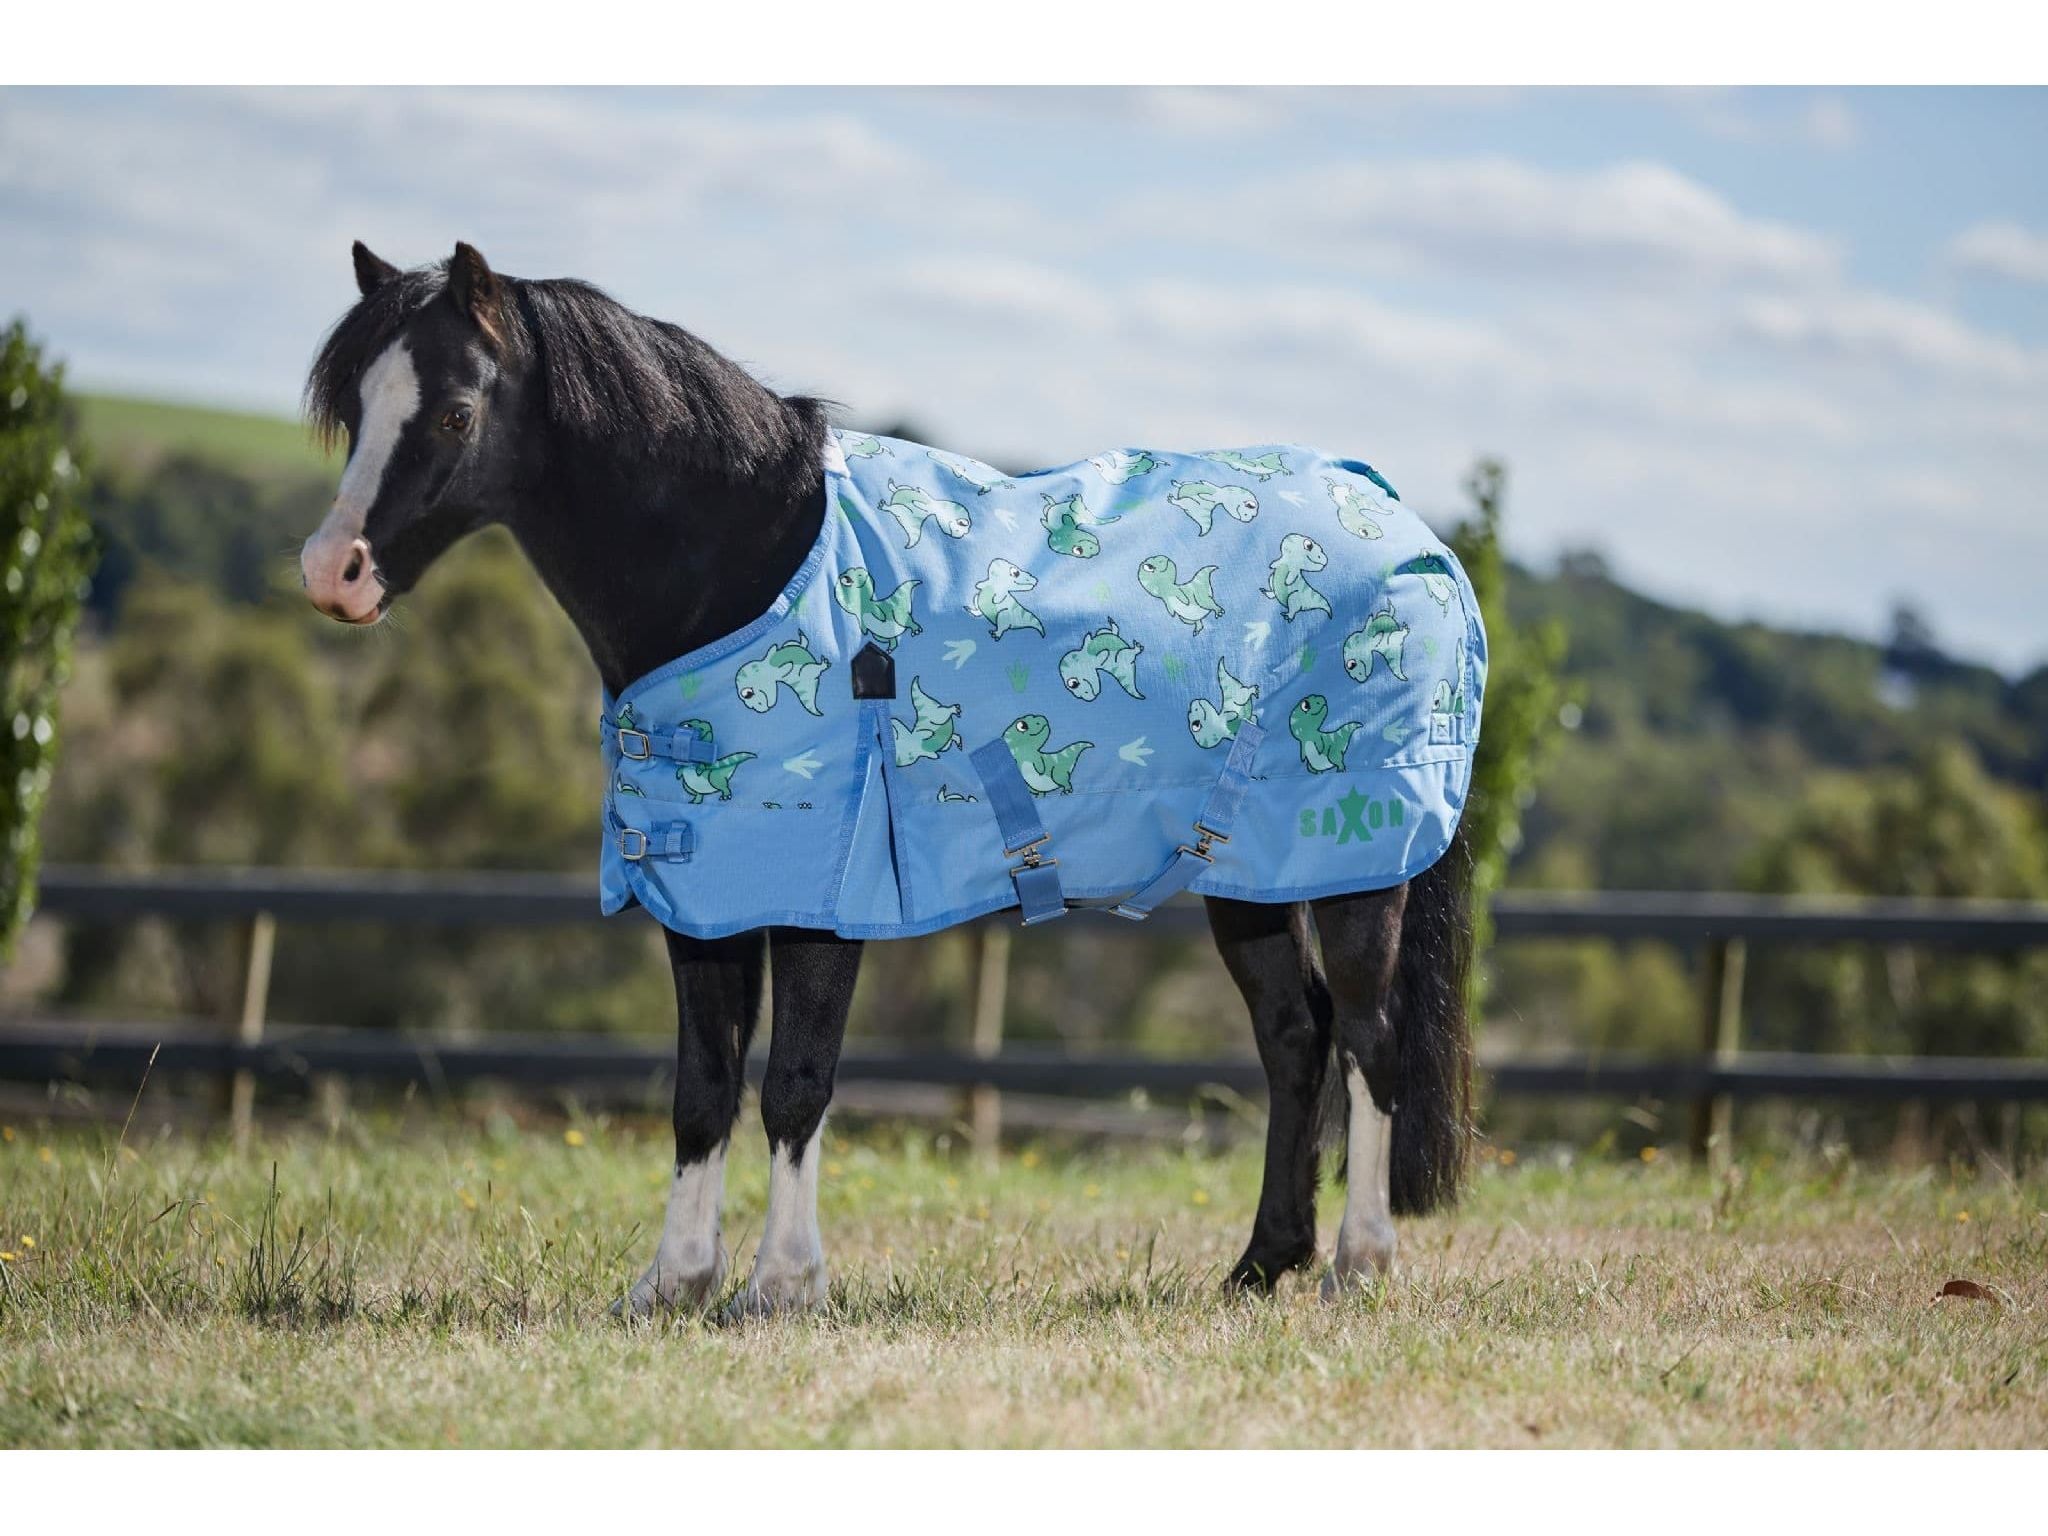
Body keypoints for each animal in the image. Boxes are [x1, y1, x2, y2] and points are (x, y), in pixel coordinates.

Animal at [298, 240, 1476, 1317]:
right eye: (353, 408)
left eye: (455, 413)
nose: (331, 573)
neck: (750, 565)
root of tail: (1402, 524)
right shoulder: (709, 892)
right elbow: (701, 1089)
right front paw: (673, 1284)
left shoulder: (827, 893)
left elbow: (793, 1085)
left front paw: (782, 1287)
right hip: (1249, 876)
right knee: (1295, 1038)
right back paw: (1260, 1265)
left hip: (1355, 864)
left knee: (1369, 1041)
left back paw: (1358, 1268)